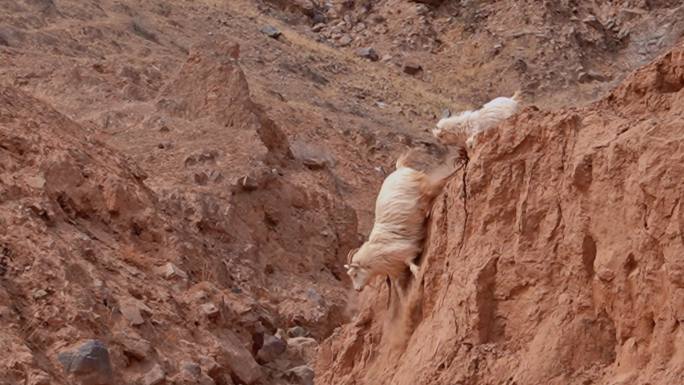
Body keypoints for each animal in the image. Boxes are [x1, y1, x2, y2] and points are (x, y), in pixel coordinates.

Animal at [344, 148, 456, 292]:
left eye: (355, 274)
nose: (357, 289)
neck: (375, 253)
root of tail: (400, 168)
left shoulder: (405, 252)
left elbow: (411, 266)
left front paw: (418, 273)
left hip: (424, 187)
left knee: (438, 184)